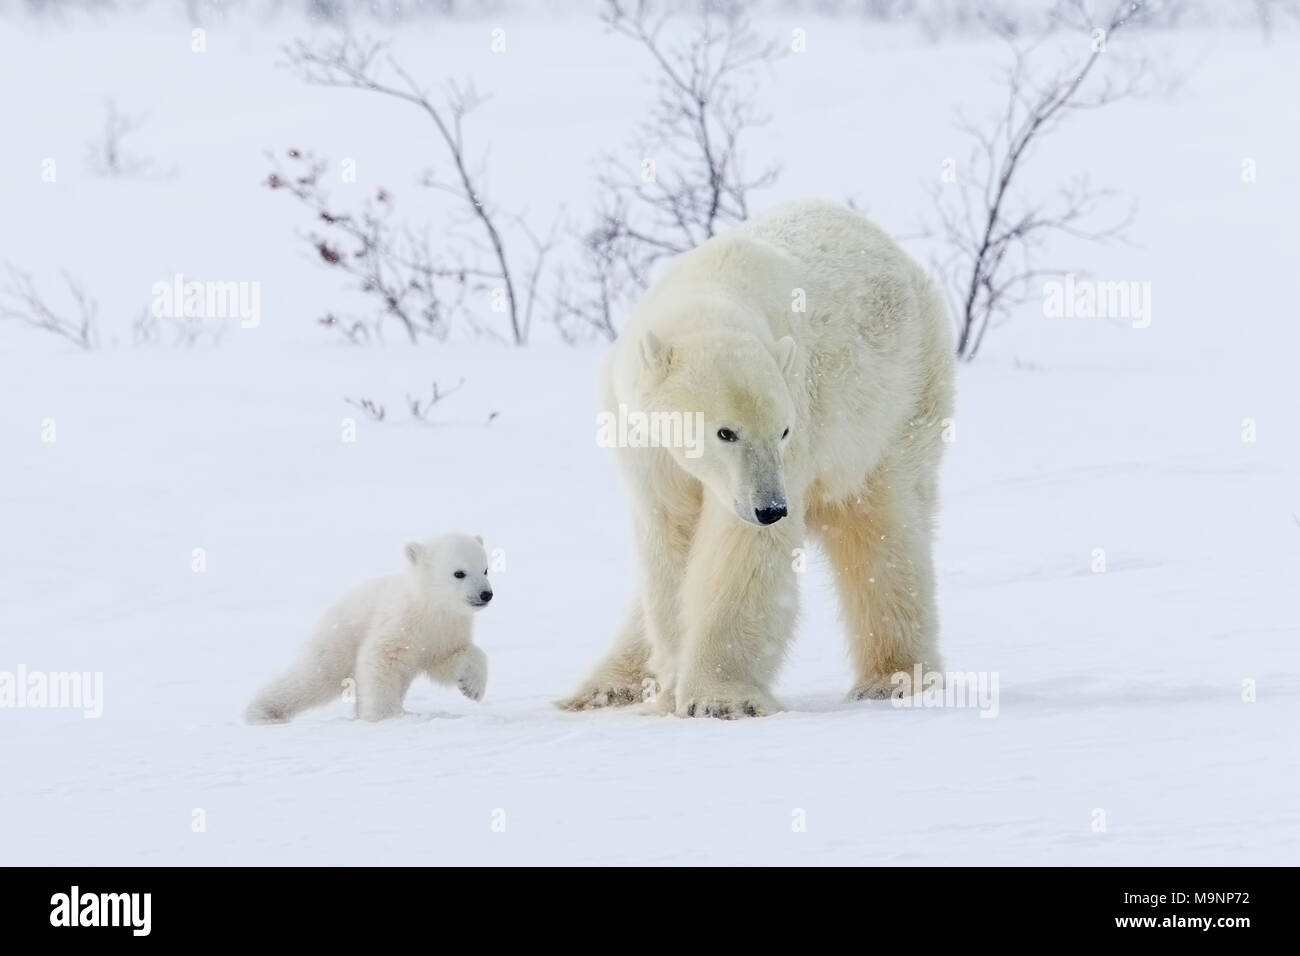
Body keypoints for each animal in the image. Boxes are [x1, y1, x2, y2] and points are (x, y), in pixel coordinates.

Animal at [561, 201, 956, 717]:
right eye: (725, 432)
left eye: (782, 431)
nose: (771, 508)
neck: (710, 292)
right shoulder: (645, 445)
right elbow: (670, 546)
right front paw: (671, 687)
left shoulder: (800, 409)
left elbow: (741, 554)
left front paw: (719, 699)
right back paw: (601, 689)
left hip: (897, 405)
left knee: (884, 531)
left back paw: (894, 679)